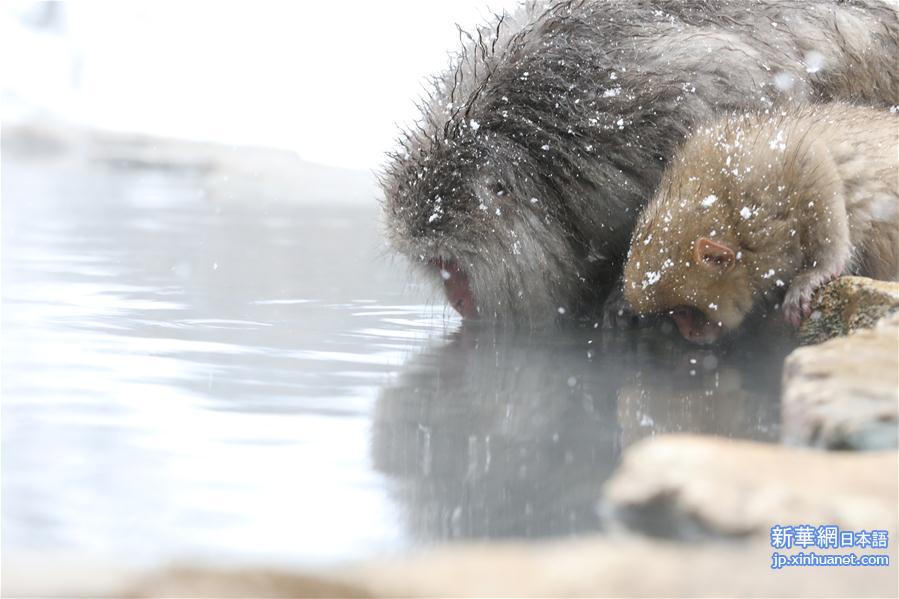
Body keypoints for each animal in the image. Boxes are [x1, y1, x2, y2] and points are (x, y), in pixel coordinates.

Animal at [624, 105, 899, 344]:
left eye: (684, 311)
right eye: (673, 314)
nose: (688, 334)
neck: (730, 218)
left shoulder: (766, 174)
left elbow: (813, 160)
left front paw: (817, 272)